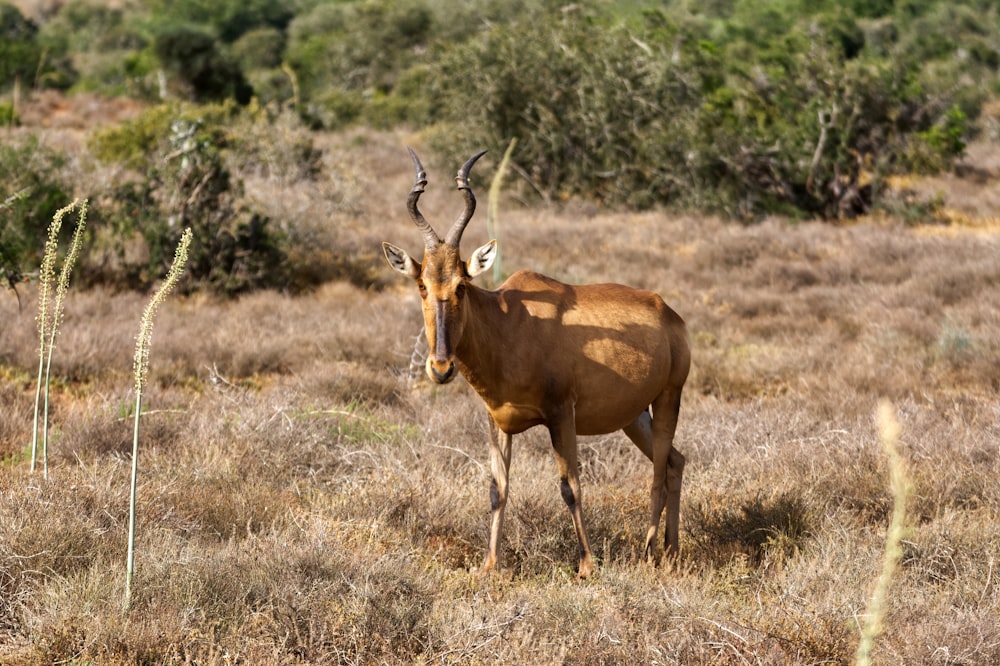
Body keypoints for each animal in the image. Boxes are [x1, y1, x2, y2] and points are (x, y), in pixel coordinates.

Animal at [380, 149, 688, 576]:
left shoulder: (561, 414)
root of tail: (669, 312)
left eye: (462, 285)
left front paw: (587, 565)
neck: (510, 321)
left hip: (669, 397)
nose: (441, 368)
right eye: (422, 284)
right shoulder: (497, 421)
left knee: (658, 472)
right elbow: (497, 489)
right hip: (634, 415)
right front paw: (490, 565)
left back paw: (649, 553)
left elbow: (570, 487)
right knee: (676, 461)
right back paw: (672, 552)